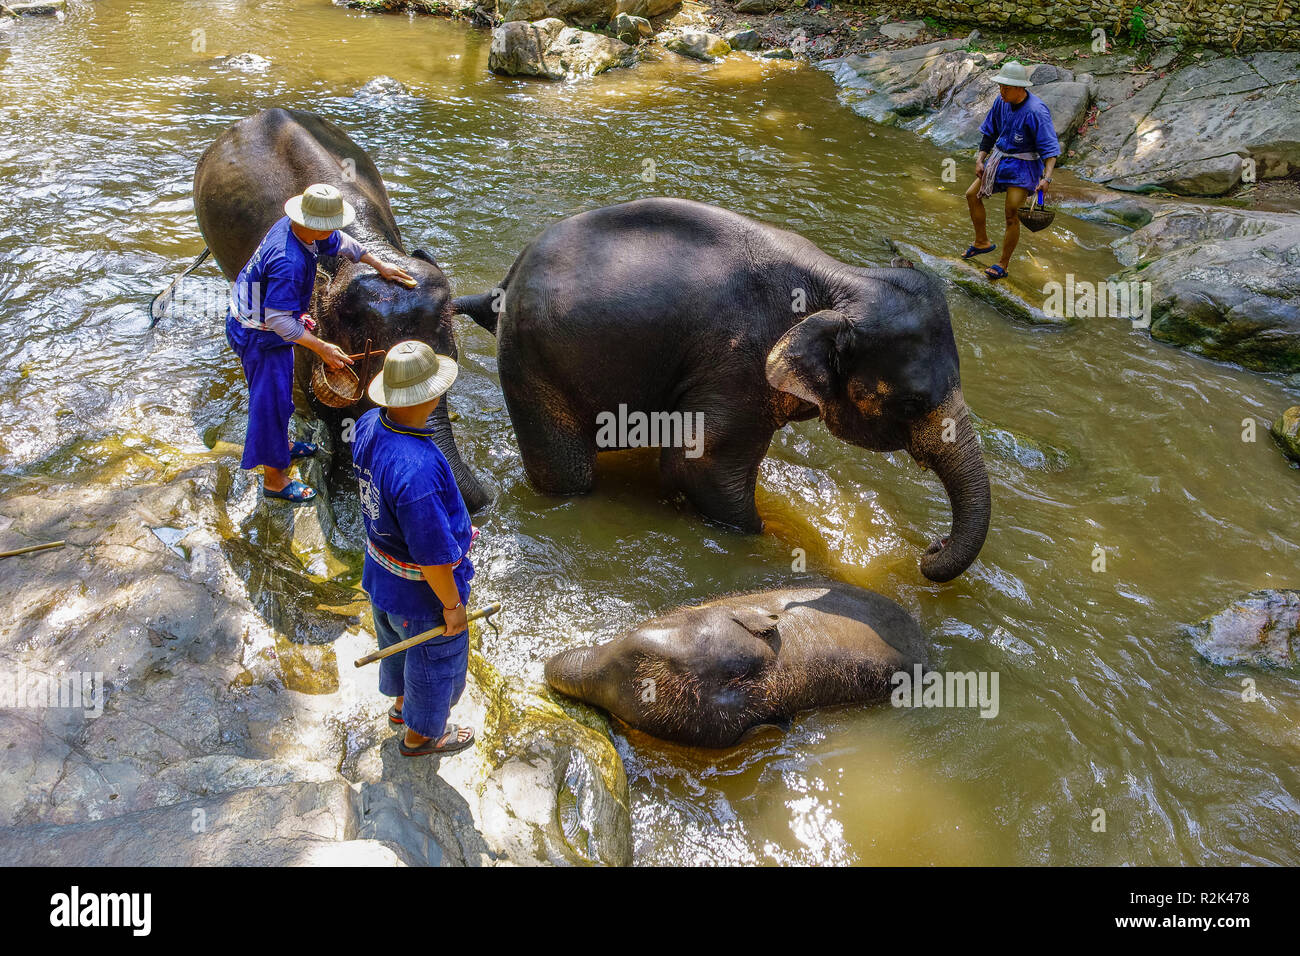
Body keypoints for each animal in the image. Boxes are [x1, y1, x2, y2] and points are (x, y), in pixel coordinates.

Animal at [454, 197, 988, 581]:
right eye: (913, 402)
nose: (930, 548)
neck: (841, 279)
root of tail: (507, 279)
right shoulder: (739, 363)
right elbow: (699, 467)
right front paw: (774, 541)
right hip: (532, 364)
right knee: (570, 475)